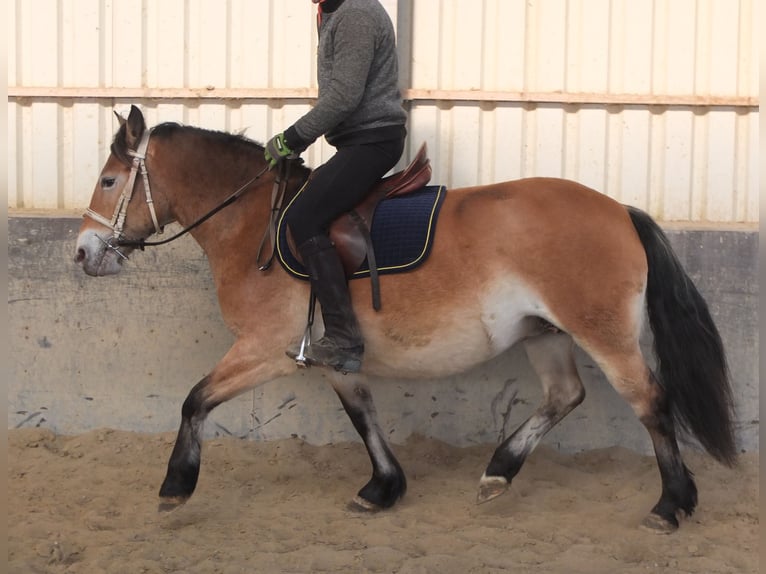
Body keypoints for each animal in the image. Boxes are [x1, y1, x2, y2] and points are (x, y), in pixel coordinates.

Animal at [73, 106, 736, 532]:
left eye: (108, 180)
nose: (81, 253)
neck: (254, 222)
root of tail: (620, 210)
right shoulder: (332, 357)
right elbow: (362, 415)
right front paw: (383, 489)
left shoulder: (265, 350)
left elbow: (194, 400)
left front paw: (175, 487)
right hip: (545, 333)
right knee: (564, 395)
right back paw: (499, 472)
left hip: (603, 333)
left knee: (651, 402)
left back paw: (671, 505)